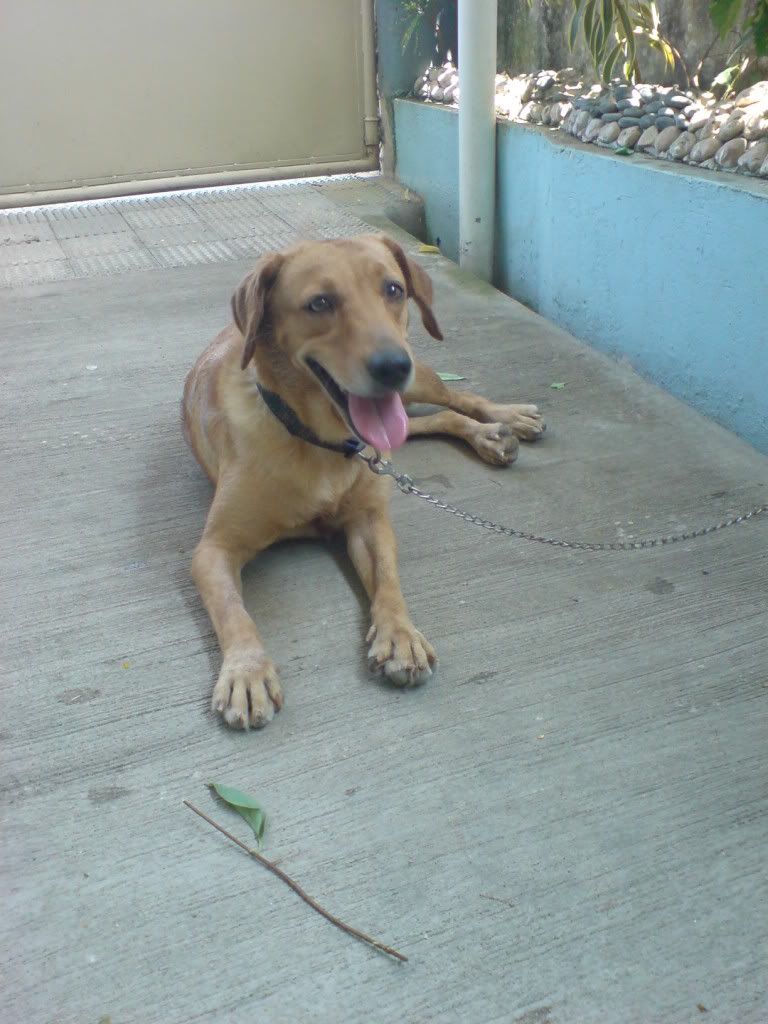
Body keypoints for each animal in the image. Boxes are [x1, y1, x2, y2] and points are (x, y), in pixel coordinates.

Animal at [183, 235, 544, 729]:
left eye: (393, 290)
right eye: (320, 302)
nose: (392, 366)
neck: (322, 443)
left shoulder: (371, 521)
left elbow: (388, 581)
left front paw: (401, 635)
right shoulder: (213, 549)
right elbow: (234, 611)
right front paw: (246, 671)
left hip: (420, 381)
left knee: (456, 397)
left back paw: (505, 419)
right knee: (429, 421)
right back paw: (488, 435)